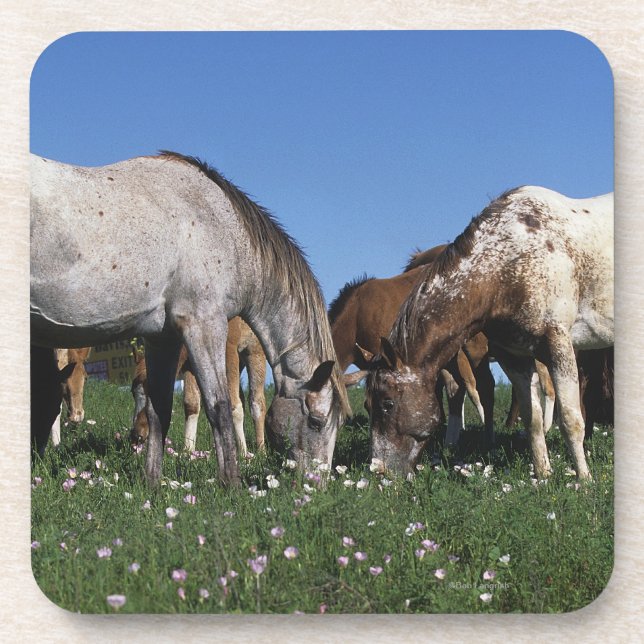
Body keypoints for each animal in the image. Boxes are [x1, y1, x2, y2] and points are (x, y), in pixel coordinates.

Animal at [130, 317, 267, 456]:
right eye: (133, 393)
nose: (135, 435)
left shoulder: (229, 348)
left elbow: (235, 406)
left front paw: (244, 454)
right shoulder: (190, 363)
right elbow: (191, 403)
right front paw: (188, 451)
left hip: (254, 350)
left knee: (256, 402)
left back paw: (261, 450)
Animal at [365, 186, 613, 480]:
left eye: (387, 404)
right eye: (369, 405)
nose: (378, 470)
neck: (507, 263)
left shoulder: (558, 343)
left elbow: (571, 420)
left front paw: (584, 480)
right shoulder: (513, 355)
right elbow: (532, 420)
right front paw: (543, 475)